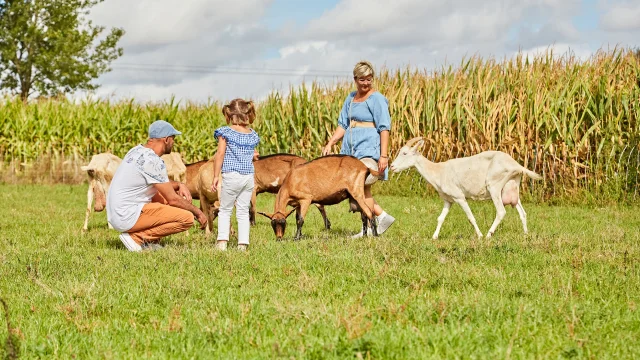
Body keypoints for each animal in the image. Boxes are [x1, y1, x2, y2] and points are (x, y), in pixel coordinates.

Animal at [388, 138, 544, 239]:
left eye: (405, 153)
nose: (392, 167)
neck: (439, 171)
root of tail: (515, 165)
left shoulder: (459, 197)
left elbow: (470, 217)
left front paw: (479, 235)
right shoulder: (448, 200)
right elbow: (440, 218)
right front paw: (434, 237)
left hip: (494, 186)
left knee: (501, 211)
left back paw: (488, 235)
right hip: (511, 187)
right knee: (522, 213)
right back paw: (525, 235)